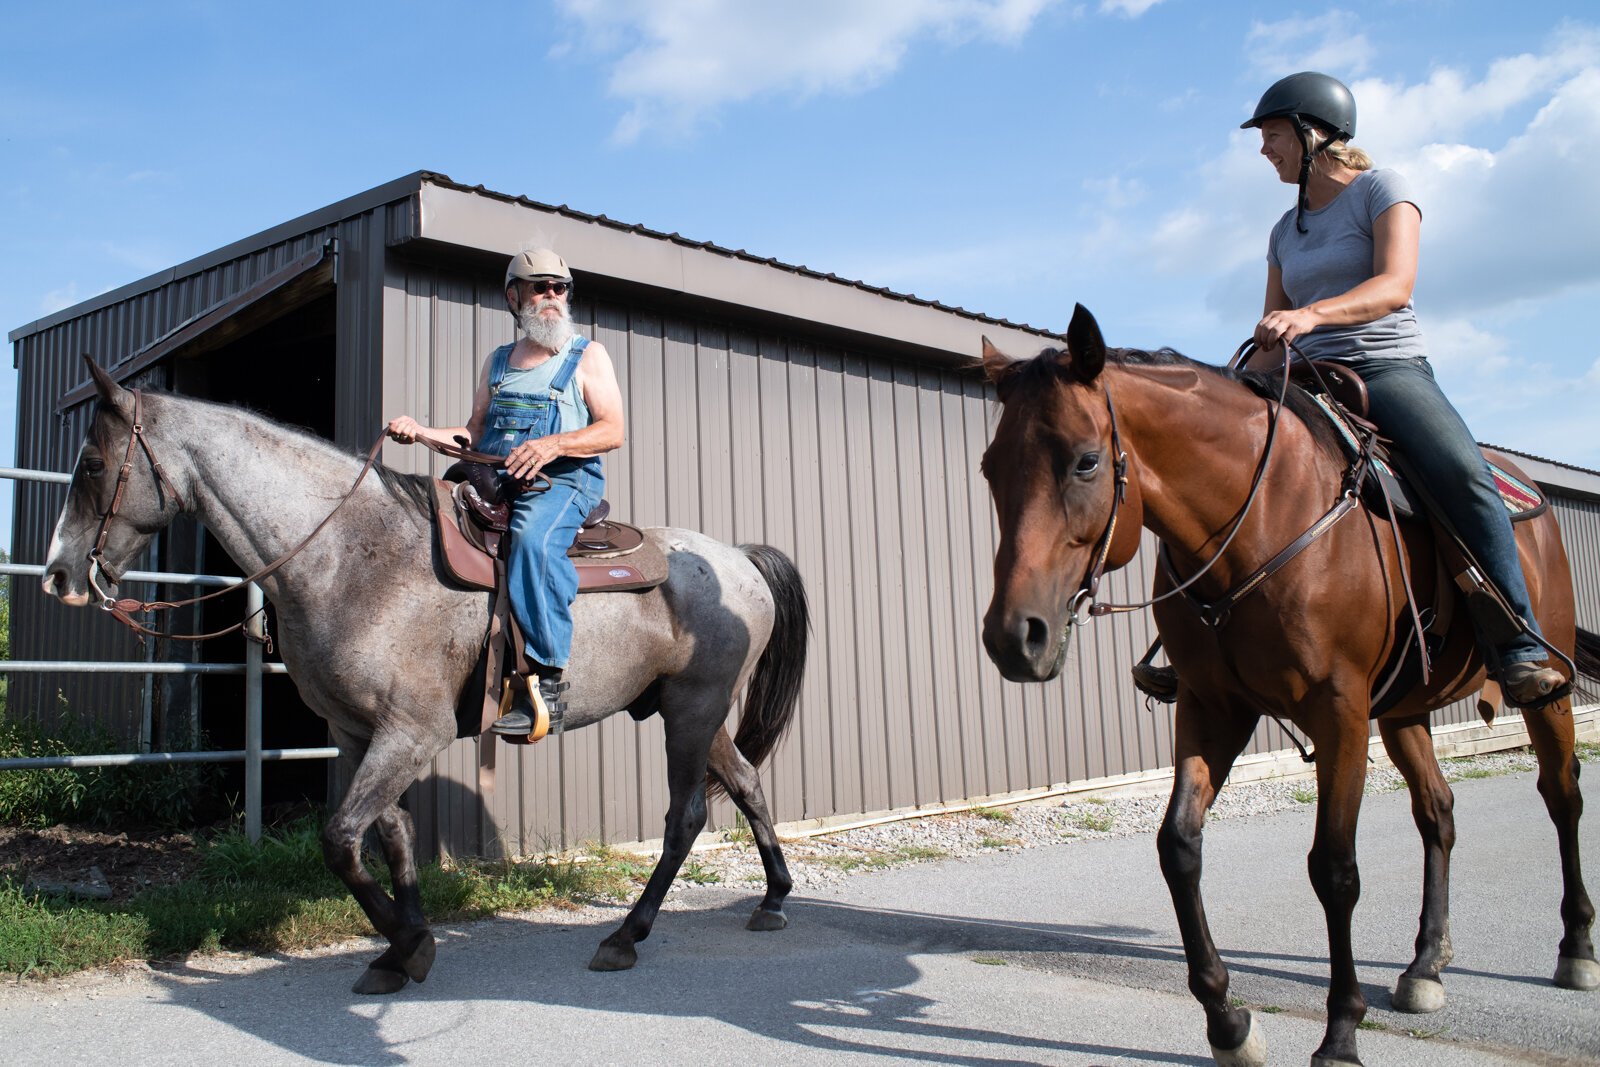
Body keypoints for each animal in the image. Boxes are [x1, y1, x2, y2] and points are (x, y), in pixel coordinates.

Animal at [40, 358, 810, 994]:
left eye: (92, 463)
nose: (58, 576)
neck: (349, 555)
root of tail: (738, 558)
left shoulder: (413, 732)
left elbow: (340, 838)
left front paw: (410, 943)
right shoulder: (359, 732)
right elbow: (388, 834)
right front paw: (398, 949)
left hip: (692, 709)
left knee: (686, 815)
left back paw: (625, 935)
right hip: (690, 711)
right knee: (745, 782)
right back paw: (773, 897)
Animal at [978, 305, 1597, 1067]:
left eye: (1086, 460)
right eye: (990, 467)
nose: (1015, 637)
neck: (1260, 520)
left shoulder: (1339, 712)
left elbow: (1334, 868)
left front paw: (1340, 1033)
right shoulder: (1214, 707)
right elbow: (1178, 847)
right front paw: (1229, 1023)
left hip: (1545, 691)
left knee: (1562, 795)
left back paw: (1576, 949)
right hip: (1403, 712)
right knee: (1438, 812)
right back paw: (1426, 964)